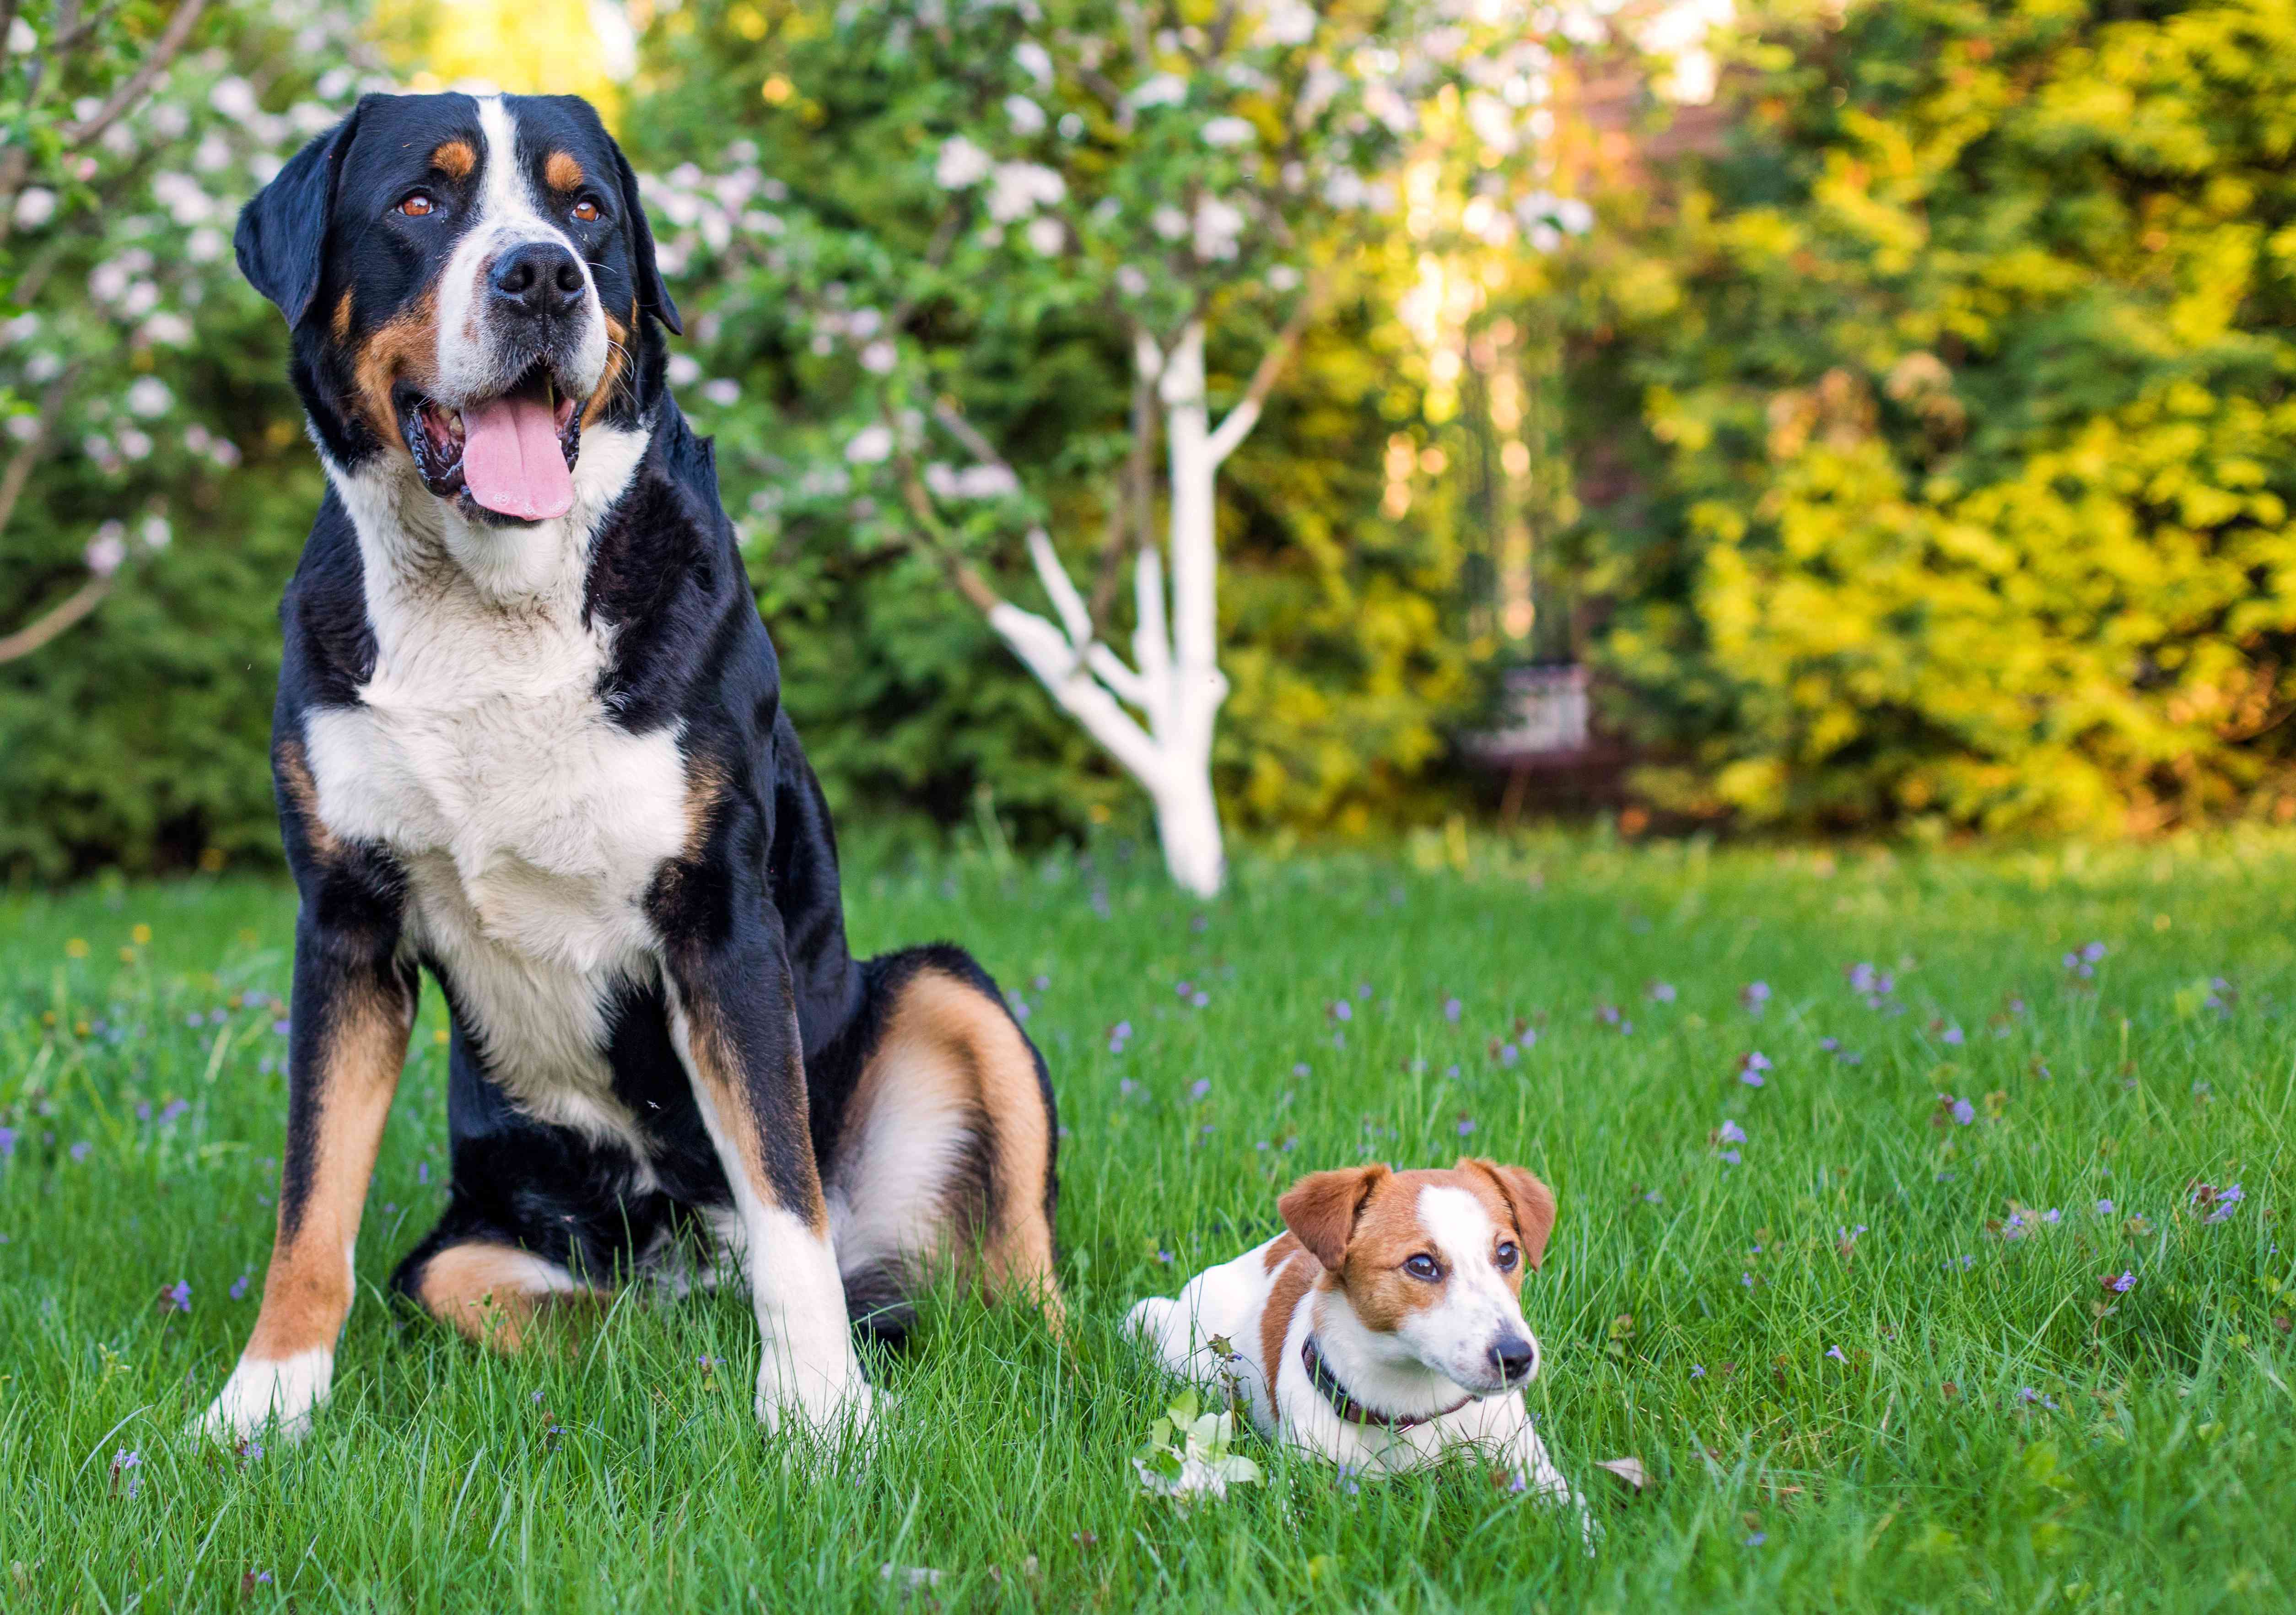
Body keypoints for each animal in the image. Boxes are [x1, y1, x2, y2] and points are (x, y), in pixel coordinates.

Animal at [199, 92, 1056, 1442]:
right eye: (419, 200)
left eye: (586, 208)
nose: (542, 274)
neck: (495, 603)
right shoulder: (343, 926)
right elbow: (312, 1202)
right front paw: (264, 1404)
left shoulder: (721, 918)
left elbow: (784, 1192)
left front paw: (818, 1413)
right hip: (486, 1234)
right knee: (561, 1309)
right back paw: (671, 1357)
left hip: (941, 992)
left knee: (1007, 1272)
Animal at [1125, 1162, 1589, 1516]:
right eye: (1422, 1264)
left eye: (1508, 1253)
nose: (1517, 1358)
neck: (1414, 1402)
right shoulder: (1307, 1471)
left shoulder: (1530, 1464)